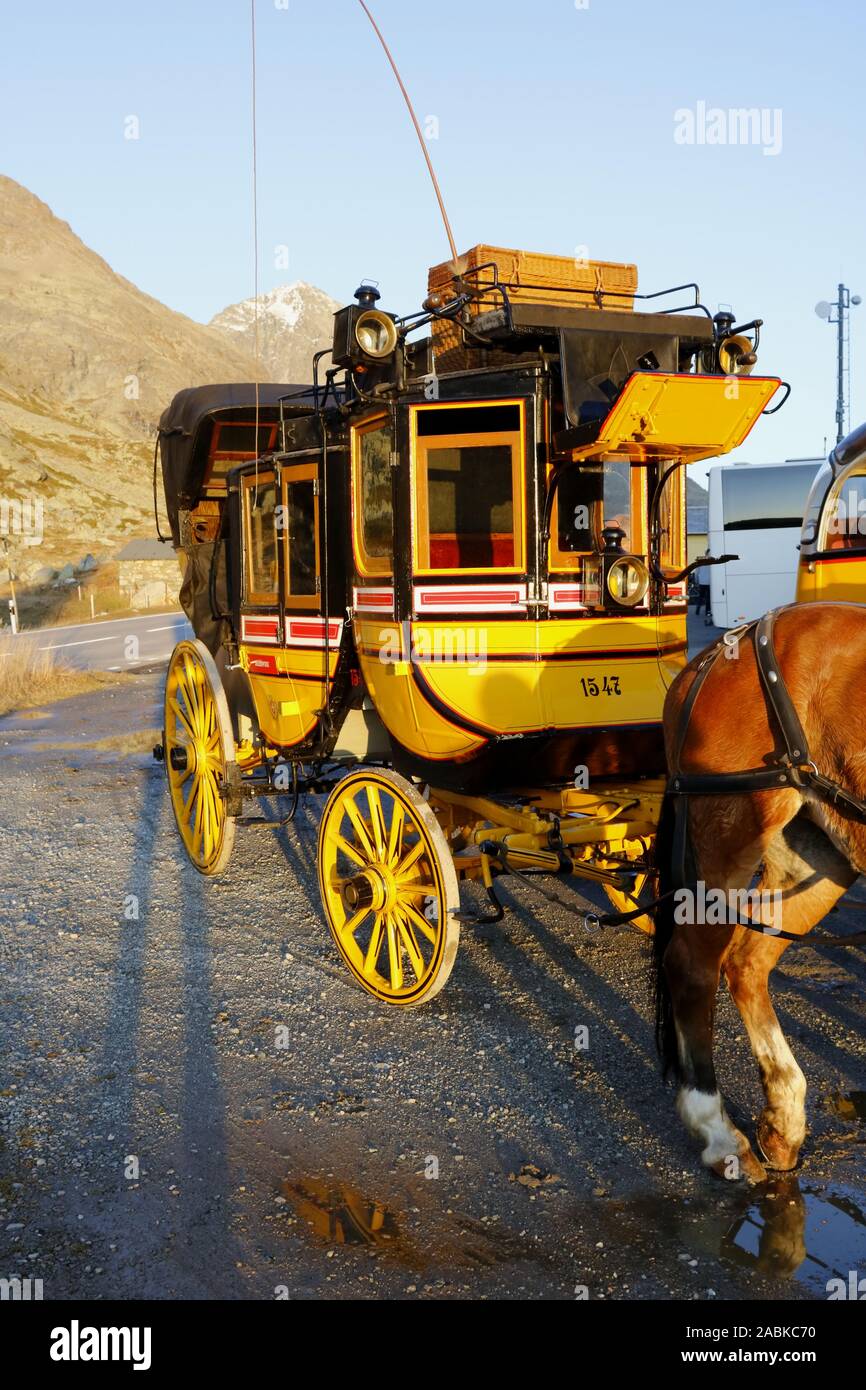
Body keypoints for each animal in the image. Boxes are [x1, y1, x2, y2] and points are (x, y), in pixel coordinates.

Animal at [656, 603, 866, 1178]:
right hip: (729, 833)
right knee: (693, 962)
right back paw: (716, 1127)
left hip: (818, 854)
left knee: (747, 961)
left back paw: (783, 1116)